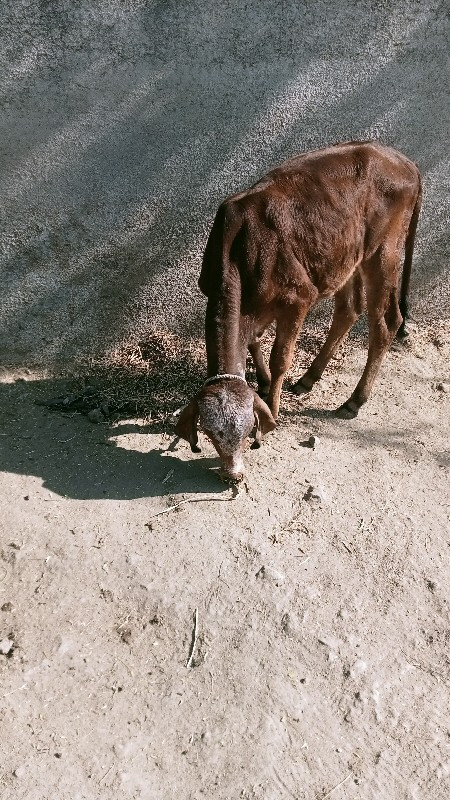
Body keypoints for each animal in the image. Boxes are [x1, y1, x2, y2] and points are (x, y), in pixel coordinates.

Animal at [175, 142, 422, 482]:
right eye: (210, 434)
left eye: (247, 431)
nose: (233, 475)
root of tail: (402, 160)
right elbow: (252, 340)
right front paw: (264, 383)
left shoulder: (298, 299)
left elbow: (281, 357)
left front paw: (274, 406)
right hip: (345, 254)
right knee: (349, 308)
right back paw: (309, 378)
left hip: (384, 251)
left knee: (386, 322)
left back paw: (354, 401)